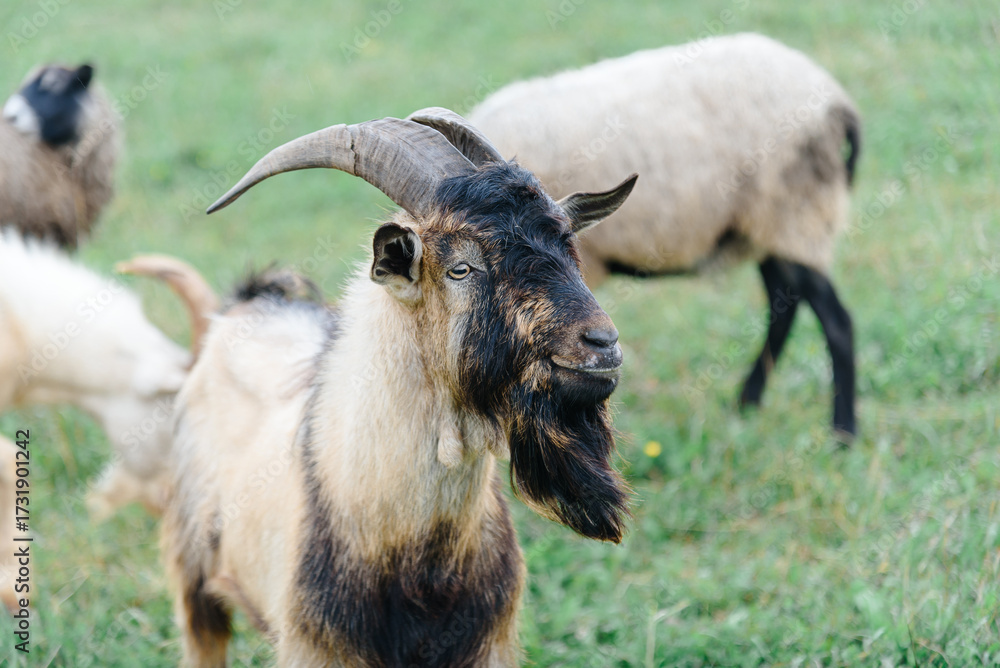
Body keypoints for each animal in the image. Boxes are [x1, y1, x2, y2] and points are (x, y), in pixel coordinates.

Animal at [162, 107, 637, 666]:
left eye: (570, 249)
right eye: (460, 268)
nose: (602, 343)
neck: (417, 558)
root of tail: (251, 302)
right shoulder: (315, 647)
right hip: (194, 578)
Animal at [469, 32, 861, 438]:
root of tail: (836, 102)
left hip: (798, 217)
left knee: (837, 322)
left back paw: (843, 431)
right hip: (769, 228)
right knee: (783, 307)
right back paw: (747, 403)